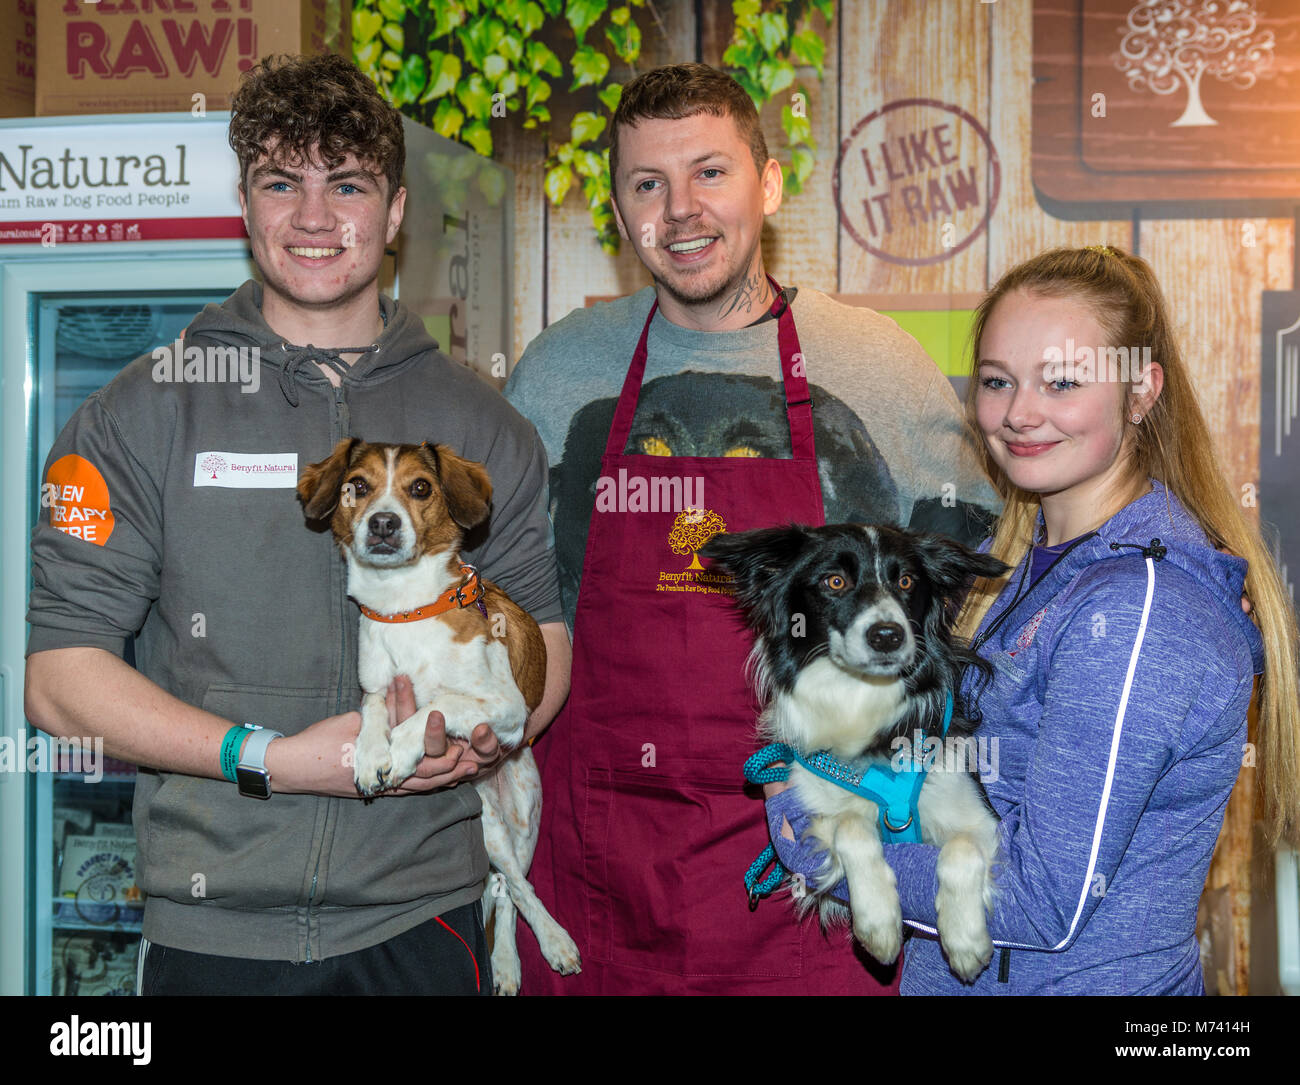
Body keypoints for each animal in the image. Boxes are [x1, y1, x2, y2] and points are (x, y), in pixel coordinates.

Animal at [297, 439, 582, 992]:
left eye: (420, 487)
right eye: (357, 485)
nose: (383, 523)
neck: (404, 610)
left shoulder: (506, 706)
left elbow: (436, 704)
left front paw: (402, 751)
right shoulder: (377, 687)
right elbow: (373, 710)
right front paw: (371, 755)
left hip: (518, 822)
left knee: (517, 888)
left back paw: (548, 944)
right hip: (487, 826)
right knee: (503, 887)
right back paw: (506, 964)